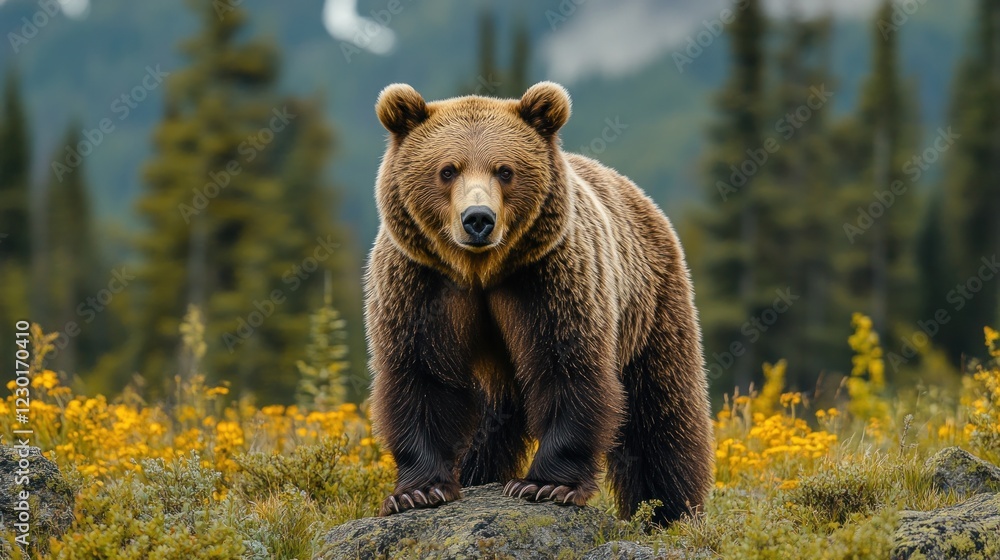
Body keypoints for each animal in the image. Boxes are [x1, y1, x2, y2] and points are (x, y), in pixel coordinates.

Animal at [365, 81, 714, 525]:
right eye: (448, 170)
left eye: (504, 170)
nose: (478, 219)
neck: (480, 272)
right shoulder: (420, 283)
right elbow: (420, 375)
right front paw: (418, 492)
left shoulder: (549, 278)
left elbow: (566, 367)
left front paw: (545, 485)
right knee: (486, 427)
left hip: (652, 305)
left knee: (662, 412)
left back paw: (669, 510)